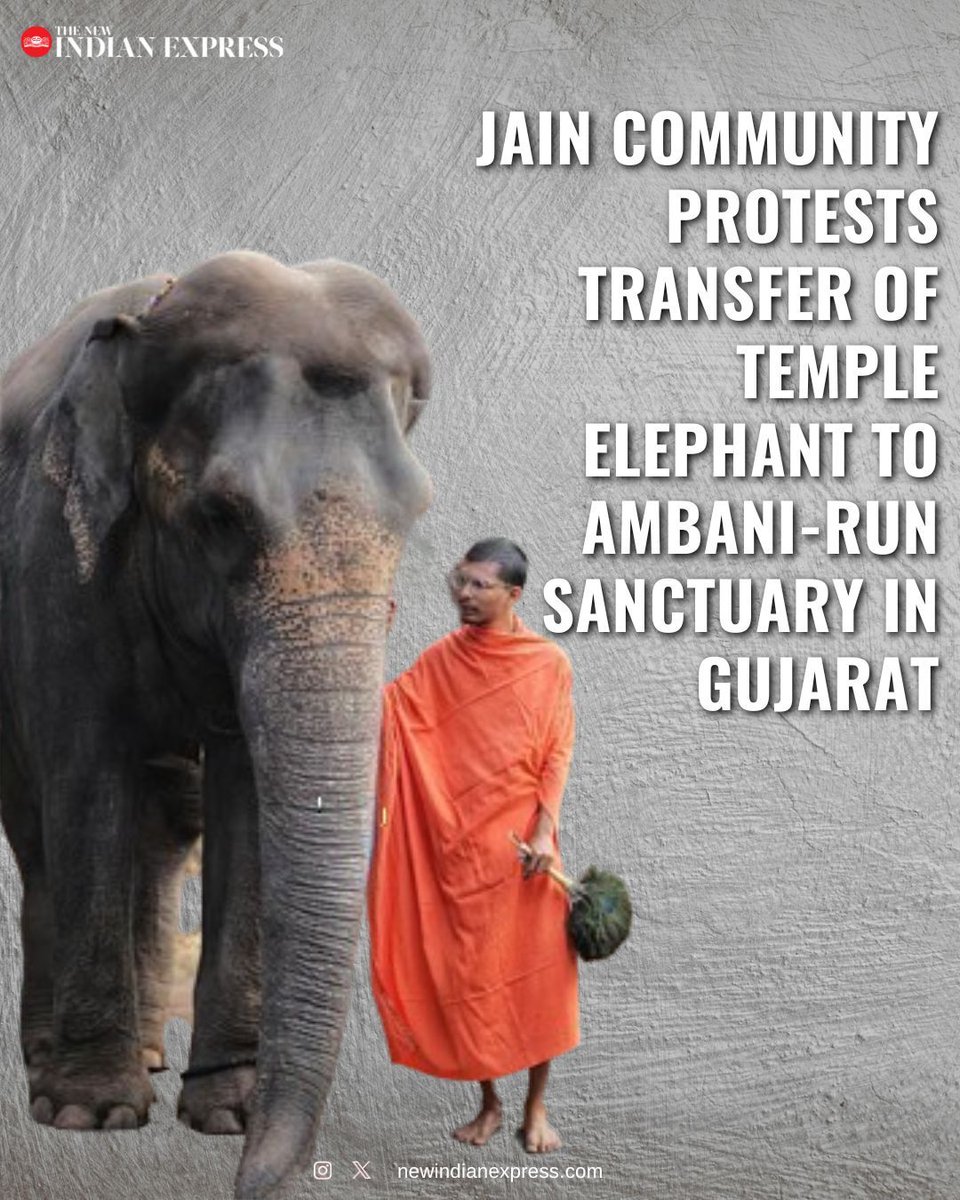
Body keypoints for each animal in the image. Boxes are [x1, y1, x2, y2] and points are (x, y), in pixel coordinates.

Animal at [0, 251, 432, 1198]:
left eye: (415, 517)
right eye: (220, 516)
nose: (252, 1176)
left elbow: (244, 794)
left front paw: (224, 1113)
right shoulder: (55, 558)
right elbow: (85, 776)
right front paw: (90, 1114)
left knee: (164, 831)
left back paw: (154, 1058)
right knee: (42, 829)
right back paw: (56, 1066)